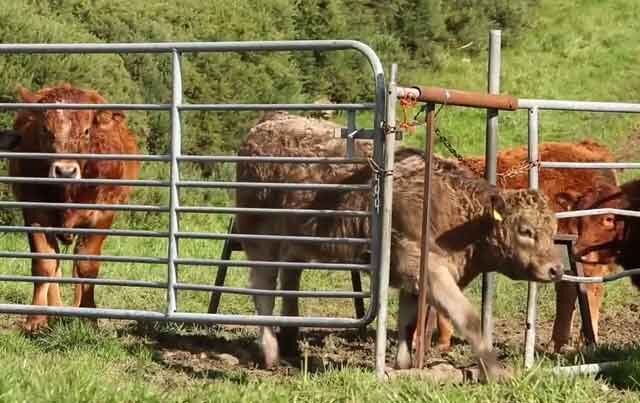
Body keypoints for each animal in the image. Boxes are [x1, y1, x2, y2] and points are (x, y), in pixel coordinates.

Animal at [8, 84, 139, 332]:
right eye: (45, 129)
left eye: (87, 131)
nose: (65, 171)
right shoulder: (35, 211)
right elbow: (45, 263)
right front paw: (36, 318)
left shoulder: (103, 214)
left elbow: (87, 266)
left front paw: (89, 317)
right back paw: (56, 308)